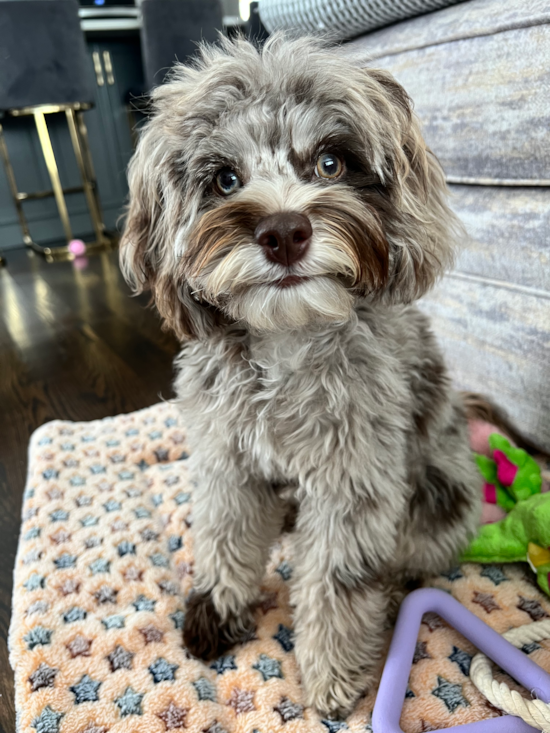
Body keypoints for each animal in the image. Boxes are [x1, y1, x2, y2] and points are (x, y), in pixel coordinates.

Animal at [121, 34, 484, 716]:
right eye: (225, 179)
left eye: (331, 163)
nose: (284, 231)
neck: (287, 340)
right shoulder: (227, 460)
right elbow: (225, 536)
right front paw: (220, 605)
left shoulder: (353, 480)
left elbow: (337, 579)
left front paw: (330, 674)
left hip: (438, 493)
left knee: (410, 554)